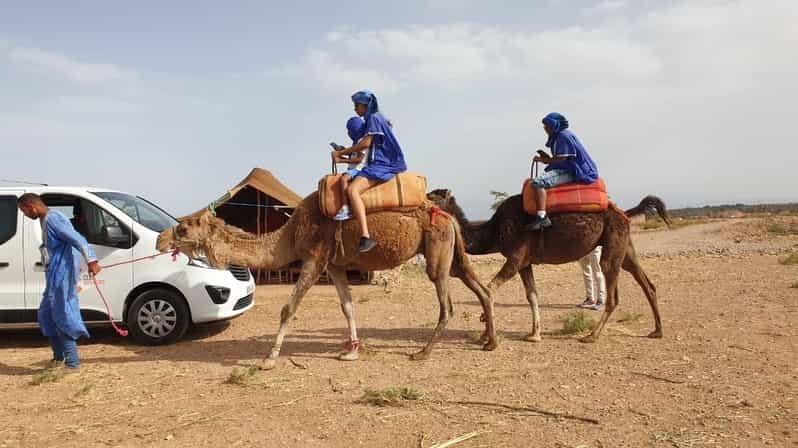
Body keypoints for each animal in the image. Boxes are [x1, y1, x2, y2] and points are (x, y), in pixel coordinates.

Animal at [153, 192, 496, 368]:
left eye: (182, 227)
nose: (159, 239)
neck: (289, 234)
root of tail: (448, 216)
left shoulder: (314, 260)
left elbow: (288, 309)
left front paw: (269, 358)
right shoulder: (335, 266)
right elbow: (348, 306)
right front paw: (351, 350)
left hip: (437, 251)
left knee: (447, 303)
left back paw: (423, 352)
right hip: (453, 254)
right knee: (481, 288)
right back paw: (488, 341)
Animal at [428, 189, 672, 344]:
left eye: (433, 197)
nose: (424, 204)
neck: (494, 230)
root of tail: (626, 213)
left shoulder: (515, 257)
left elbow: (490, 288)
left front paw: (485, 335)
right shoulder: (525, 263)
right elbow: (532, 296)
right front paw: (534, 334)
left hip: (612, 246)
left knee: (613, 295)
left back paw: (591, 336)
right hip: (625, 246)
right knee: (647, 284)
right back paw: (657, 331)